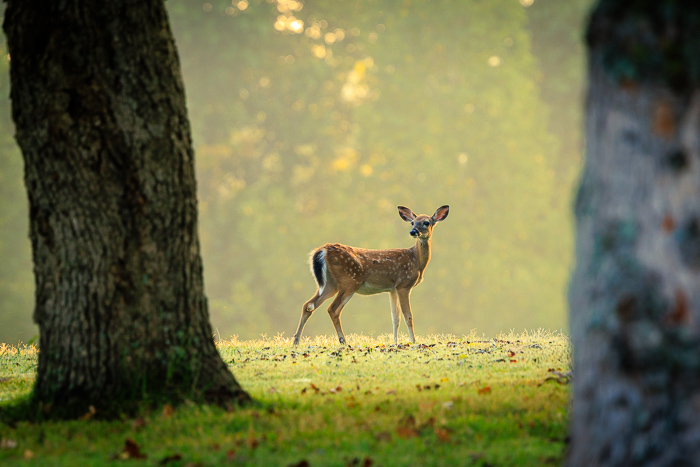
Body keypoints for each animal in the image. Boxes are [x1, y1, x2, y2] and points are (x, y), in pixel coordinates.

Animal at [292, 205, 449, 346]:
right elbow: (408, 316)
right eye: (412, 222)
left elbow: (395, 318)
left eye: (426, 222)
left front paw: (394, 343)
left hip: (330, 284)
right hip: (349, 281)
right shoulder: (403, 285)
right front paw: (414, 343)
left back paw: (296, 341)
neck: (416, 260)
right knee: (333, 309)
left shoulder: (392, 289)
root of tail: (323, 250)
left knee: (308, 305)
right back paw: (343, 341)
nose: (413, 232)